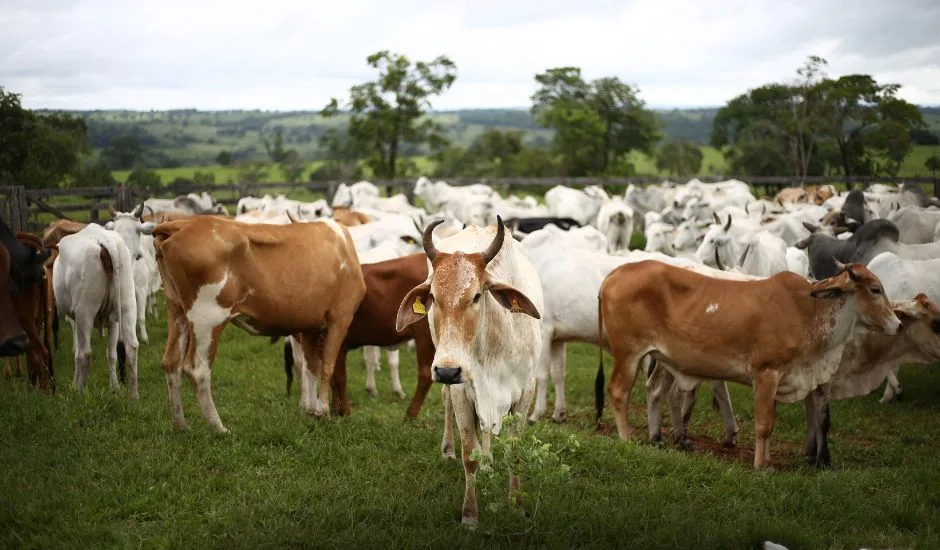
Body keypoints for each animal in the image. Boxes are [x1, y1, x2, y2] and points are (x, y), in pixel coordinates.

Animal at [52, 224, 140, 402]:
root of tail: (104, 240)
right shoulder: (114, 321)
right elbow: (111, 354)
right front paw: (114, 388)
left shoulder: (76, 320)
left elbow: (77, 352)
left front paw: (75, 386)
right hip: (127, 305)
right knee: (131, 347)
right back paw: (133, 396)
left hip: (85, 312)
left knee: (85, 353)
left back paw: (80, 392)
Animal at [152, 216, 366, 436]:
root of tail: (183, 224)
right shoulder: (341, 317)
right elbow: (327, 366)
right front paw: (323, 411)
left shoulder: (309, 326)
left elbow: (311, 368)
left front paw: (312, 411)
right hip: (208, 317)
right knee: (197, 369)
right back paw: (219, 427)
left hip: (177, 310)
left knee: (171, 363)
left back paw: (180, 425)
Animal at [600, 260, 900, 470]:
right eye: (875, 289)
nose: (897, 324)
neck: (808, 312)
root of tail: (615, 273)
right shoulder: (766, 374)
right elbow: (764, 424)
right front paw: (760, 466)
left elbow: (776, 422)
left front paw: (768, 461)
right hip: (628, 353)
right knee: (618, 392)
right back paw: (626, 438)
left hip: (659, 358)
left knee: (653, 391)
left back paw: (656, 439)